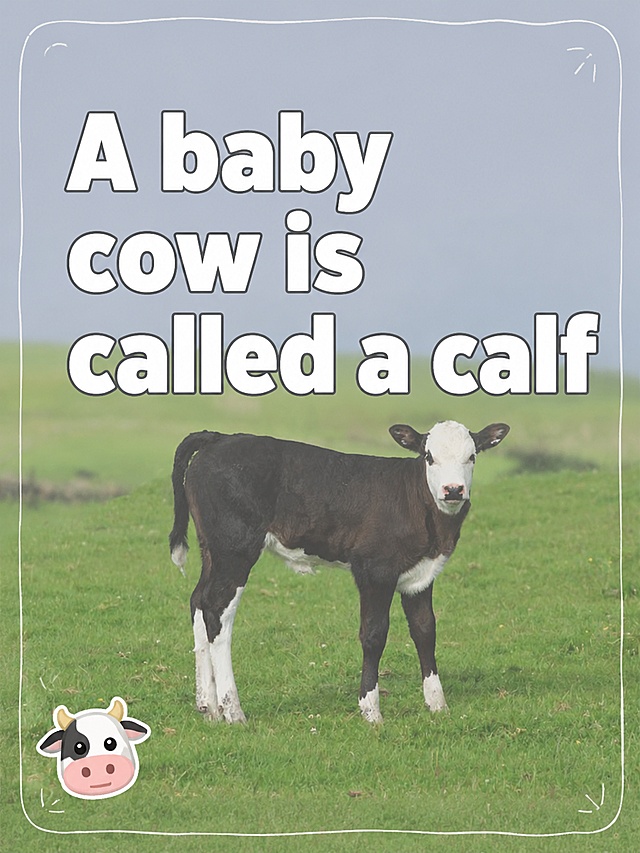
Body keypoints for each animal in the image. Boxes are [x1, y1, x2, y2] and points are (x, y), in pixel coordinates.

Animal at [169, 419, 509, 724]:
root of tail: (221, 438)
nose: (453, 490)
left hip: (213, 550)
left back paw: (208, 707)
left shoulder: (421, 575)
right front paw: (371, 711)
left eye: (472, 456)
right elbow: (374, 634)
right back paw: (233, 711)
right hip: (235, 549)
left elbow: (425, 630)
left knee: (199, 601)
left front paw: (438, 705)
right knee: (217, 612)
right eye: (429, 456)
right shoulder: (374, 569)